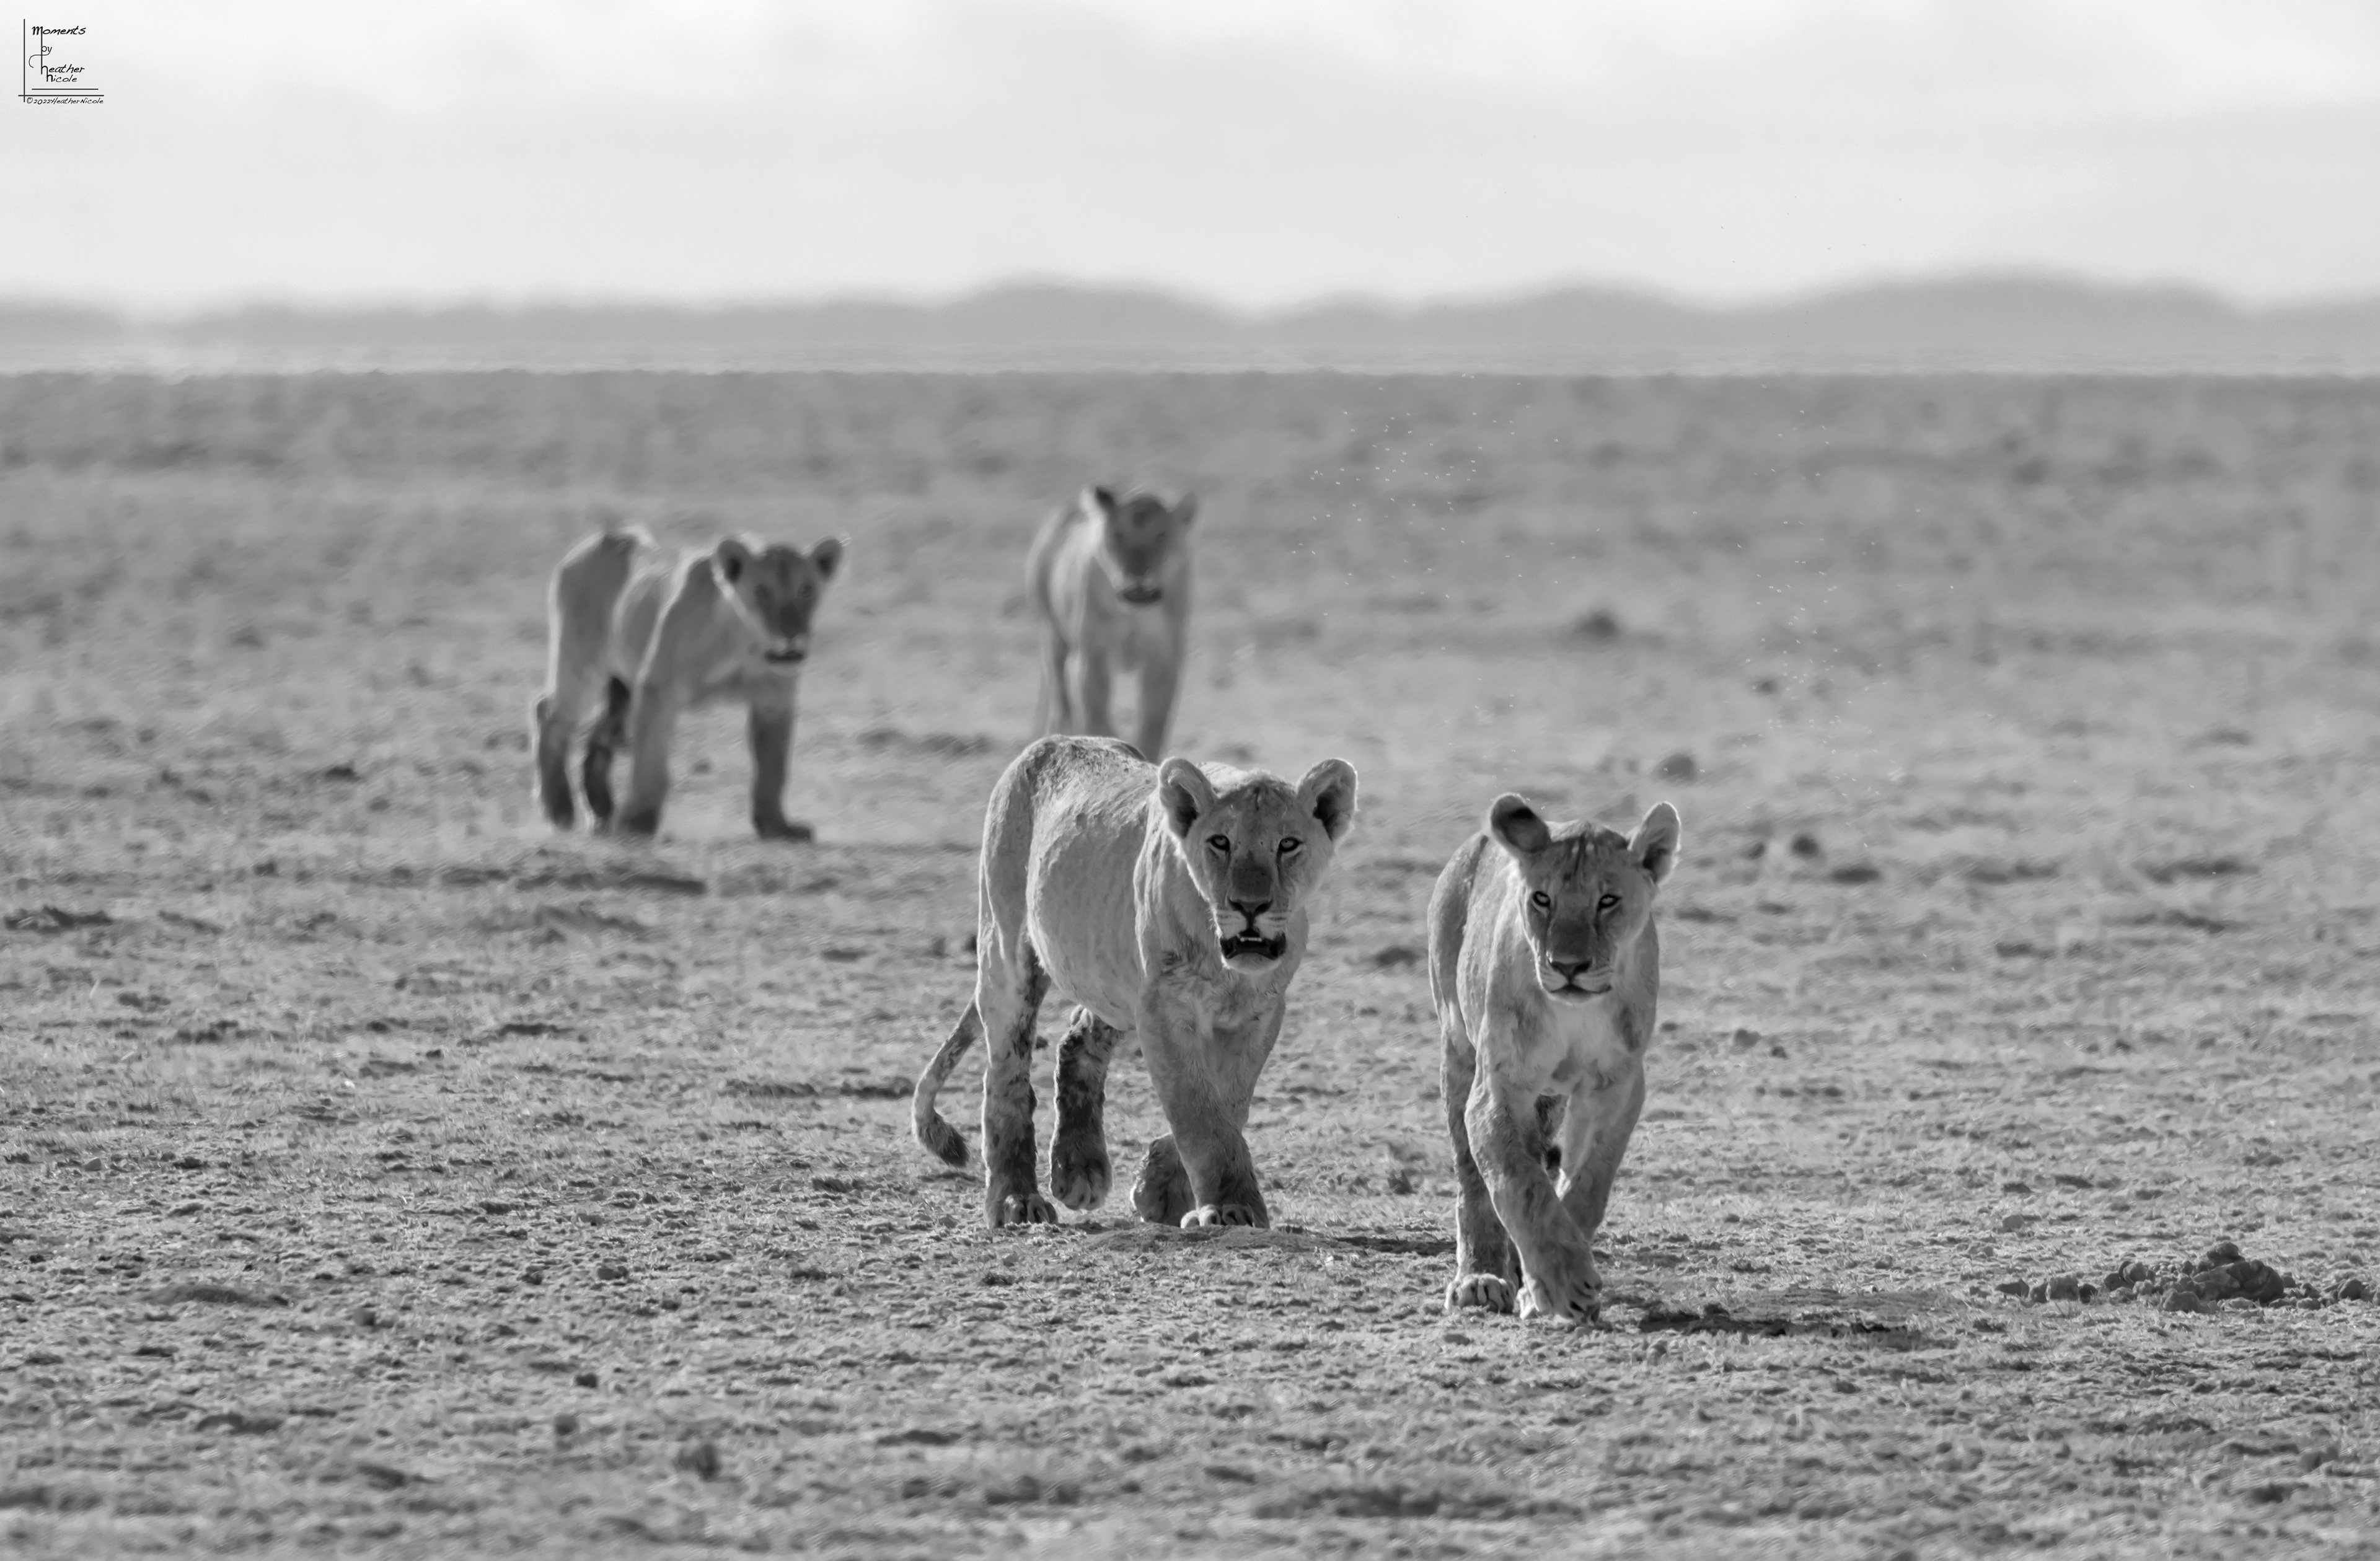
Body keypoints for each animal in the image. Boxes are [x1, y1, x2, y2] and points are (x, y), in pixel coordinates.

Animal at [530, 525, 844, 840]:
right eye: (762, 592)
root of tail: (607, 535)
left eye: (806, 590)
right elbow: (651, 762)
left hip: (623, 687)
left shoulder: (774, 700)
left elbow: (773, 768)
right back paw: (559, 810)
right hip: (581, 662)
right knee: (549, 714)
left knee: (600, 734)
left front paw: (777, 825)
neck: (744, 643)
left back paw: (602, 812)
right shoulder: (657, 688)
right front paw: (638, 821)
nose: (792, 634)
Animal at [911, 734, 1358, 1229]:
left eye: (1288, 844)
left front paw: (1160, 1189)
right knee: (1006, 1077)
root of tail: (1051, 742)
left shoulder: (1260, 1012)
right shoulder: (1164, 1007)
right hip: (1006, 952)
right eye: (1221, 842)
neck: (1227, 963)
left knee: (1078, 1038)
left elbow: (1230, 1102)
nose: (1249, 905)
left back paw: (1078, 1168)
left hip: (1112, 979)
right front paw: (1229, 1205)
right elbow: (1197, 1108)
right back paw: (1016, 1200)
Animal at [1026, 485, 1197, 762]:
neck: (1134, 611)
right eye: (1118, 535)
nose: (1137, 575)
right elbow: (1096, 716)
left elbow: (1154, 724)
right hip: (1053, 636)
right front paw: (1110, 746)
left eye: (1162, 535)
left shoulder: (1164, 660)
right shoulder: (1091, 658)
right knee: (1061, 703)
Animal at [1429, 793, 1681, 1321]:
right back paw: (1481, 1278)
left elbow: (1586, 1183)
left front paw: (1548, 1284)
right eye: (1542, 899)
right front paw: (1561, 1284)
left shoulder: (1617, 1085)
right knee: (1472, 1179)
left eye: (1608, 900)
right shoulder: (1499, 1086)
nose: (1568, 966)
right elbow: (1518, 1181)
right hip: (1457, 1050)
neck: (1576, 1013)